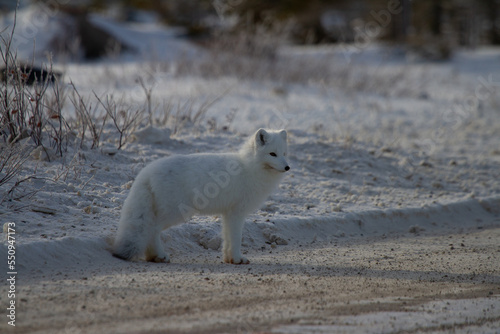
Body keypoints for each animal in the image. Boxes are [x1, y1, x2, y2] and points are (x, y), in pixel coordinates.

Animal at [113, 128, 290, 264]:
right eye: (272, 154)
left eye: (284, 153)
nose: (287, 167)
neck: (248, 167)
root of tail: (147, 171)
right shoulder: (237, 213)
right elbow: (236, 239)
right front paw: (238, 258)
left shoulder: (228, 214)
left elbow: (227, 239)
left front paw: (230, 259)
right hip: (175, 213)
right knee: (152, 230)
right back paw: (159, 256)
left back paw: (153, 256)